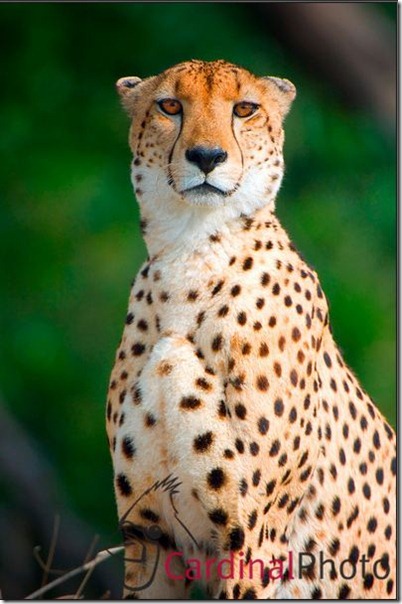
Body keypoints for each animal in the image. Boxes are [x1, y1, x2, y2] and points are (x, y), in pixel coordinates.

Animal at [106, 59, 396, 596]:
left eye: (245, 109)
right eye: (170, 105)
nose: (206, 156)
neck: (193, 250)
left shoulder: (250, 537)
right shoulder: (148, 536)